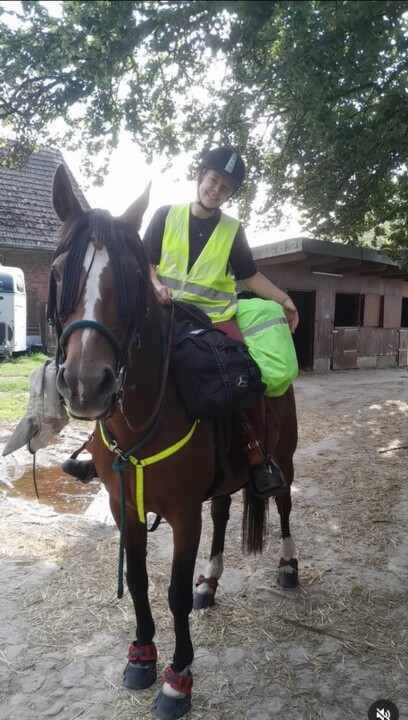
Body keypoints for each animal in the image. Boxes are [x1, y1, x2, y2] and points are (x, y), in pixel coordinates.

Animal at [48, 164, 299, 720]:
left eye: (132, 282)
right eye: (57, 274)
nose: (85, 385)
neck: (143, 420)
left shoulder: (184, 513)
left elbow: (174, 595)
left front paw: (177, 679)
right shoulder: (125, 506)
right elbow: (141, 582)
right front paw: (142, 654)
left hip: (285, 458)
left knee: (284, 503)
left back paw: (290, 567)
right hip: (227, 478)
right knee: (224, 511)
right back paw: (212, 579)